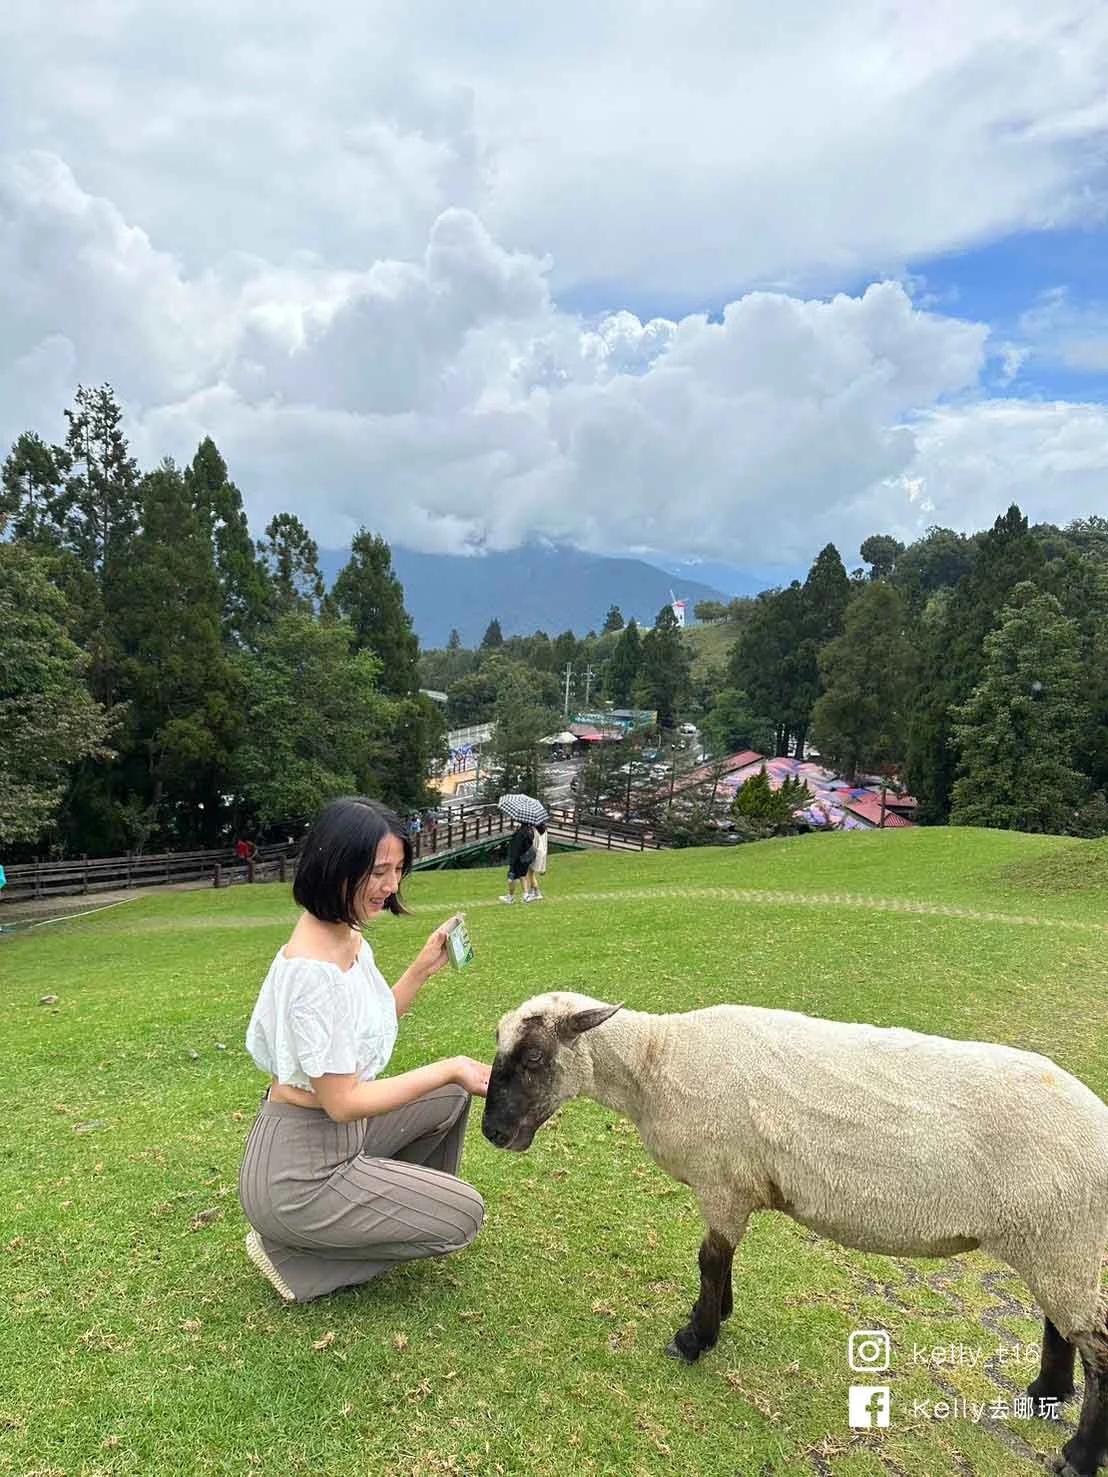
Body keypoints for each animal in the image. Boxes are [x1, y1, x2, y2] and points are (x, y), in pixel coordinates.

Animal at [484, 992, 1108, 1477]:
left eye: (534, 1056)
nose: (492, 1132)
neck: (656, 1064)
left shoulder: (723, 1180)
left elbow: (709, 1258)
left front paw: (695, 1337)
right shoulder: (736, 1187)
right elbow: (723, 1258)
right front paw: (721, 1312)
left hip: (1064, 1236)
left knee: (1096, 1345)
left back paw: (1077, 1454)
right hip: (1052, 1238)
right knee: (1059, 1322)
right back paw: (1043, 1395)